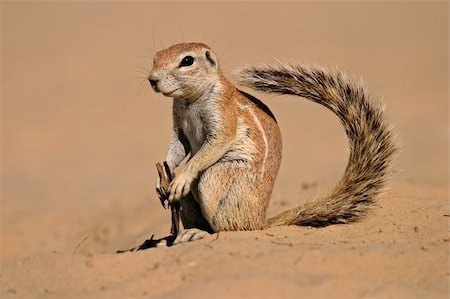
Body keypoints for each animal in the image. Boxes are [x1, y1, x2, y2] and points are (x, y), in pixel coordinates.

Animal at [147, 41, 394, 244]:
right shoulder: (178, 125)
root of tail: (260, 221)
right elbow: (179, 147)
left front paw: (182, 176)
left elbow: (214, 144)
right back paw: (182, 234)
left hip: (217, 177)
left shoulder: (223, 115)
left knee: (229, 226)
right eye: (156, 56)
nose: (152, 79)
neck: (191, 100)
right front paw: (162, 180)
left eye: (187, 61)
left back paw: (202, 232)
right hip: (191, 199)